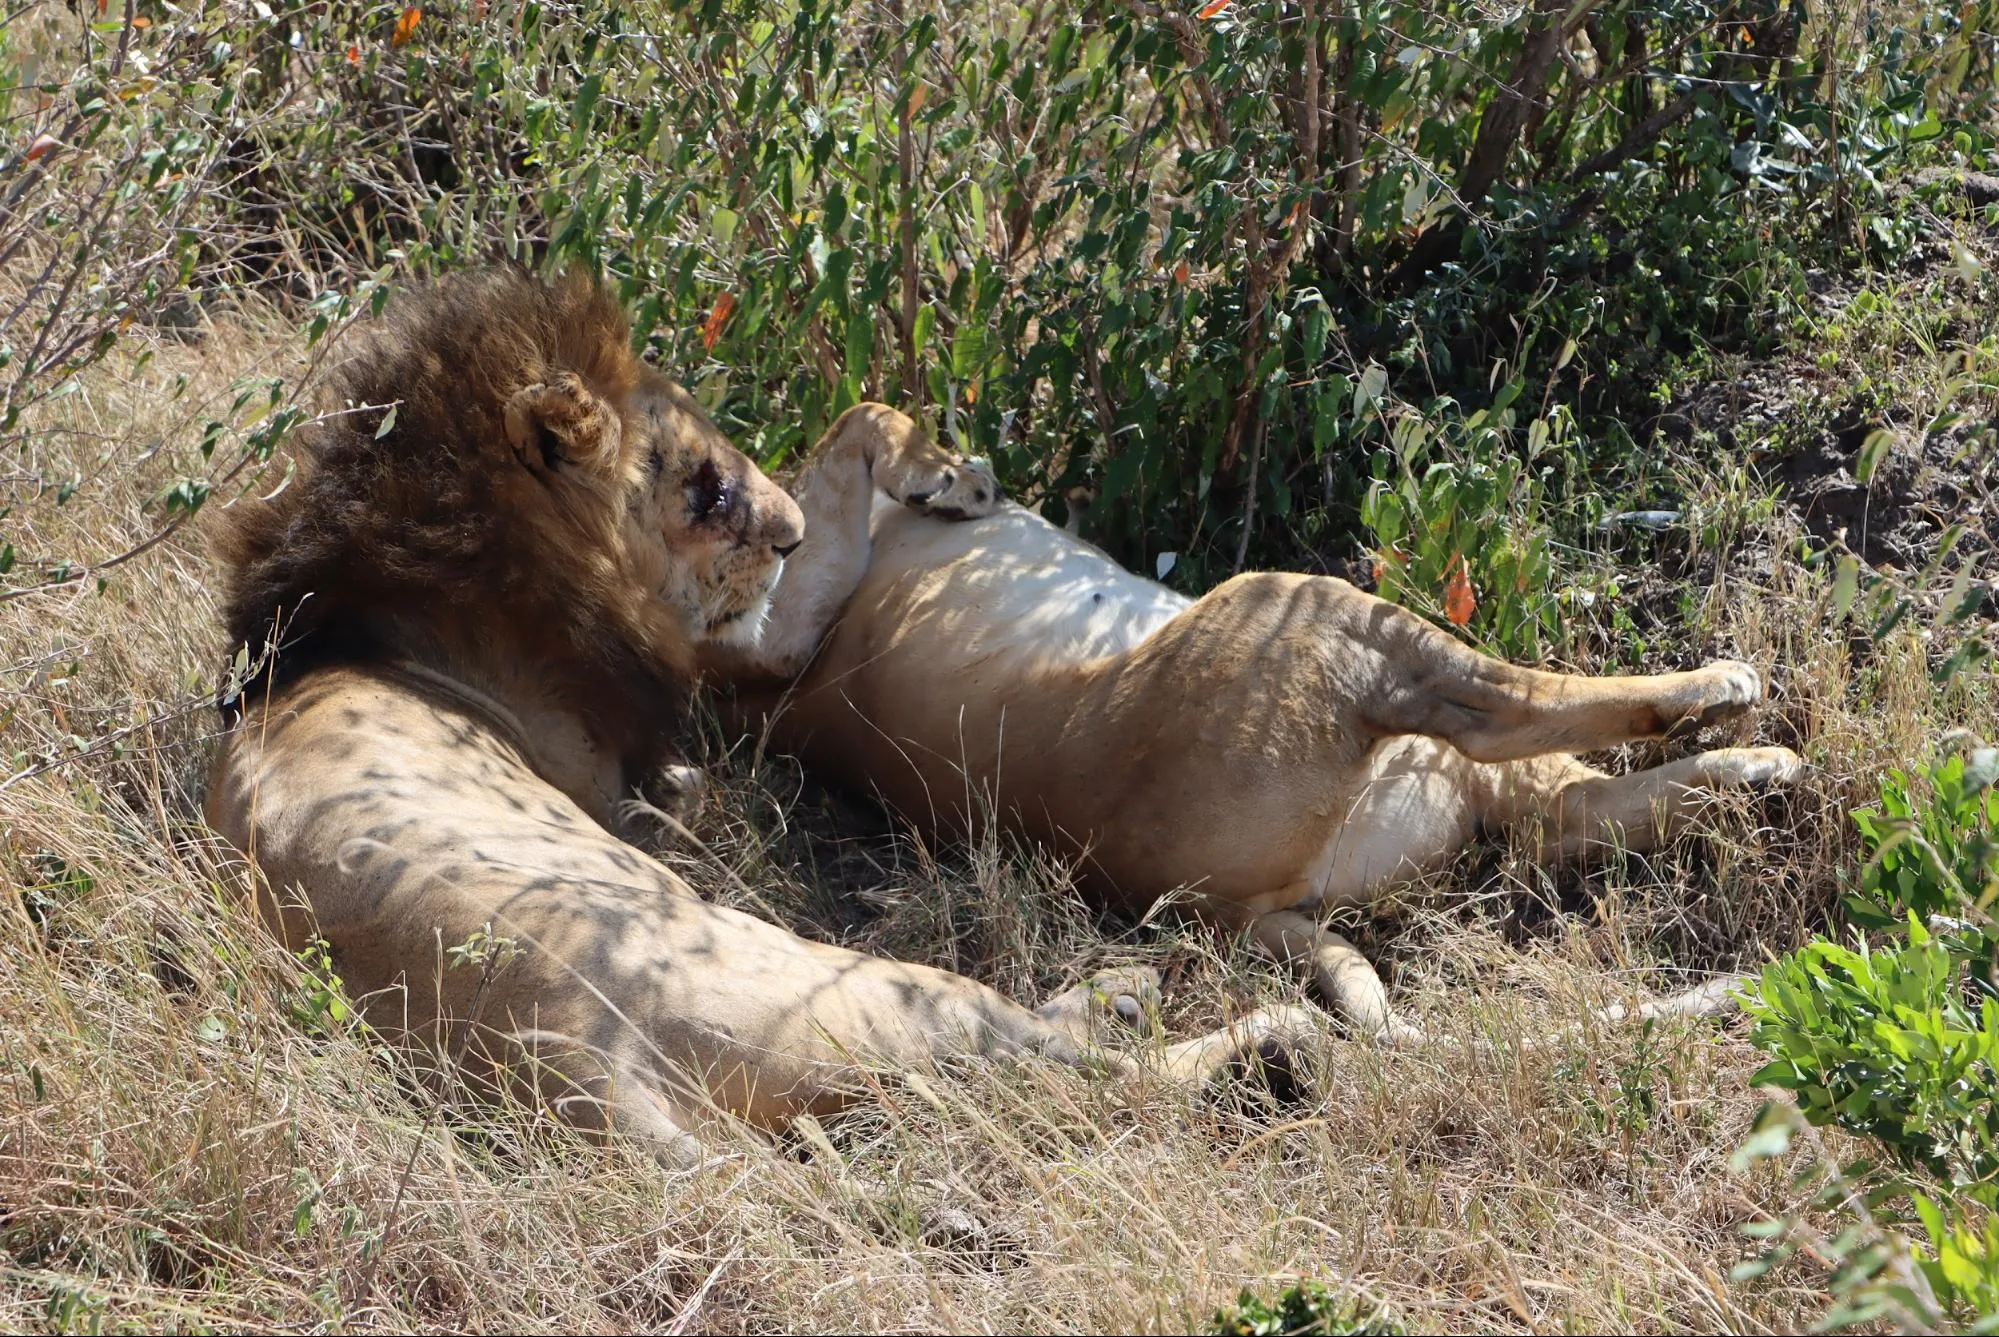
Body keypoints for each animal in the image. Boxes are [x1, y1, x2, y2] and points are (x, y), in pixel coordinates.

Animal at [198, 267, 1295, 1159]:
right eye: (710, 488)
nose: (789, 534)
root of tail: (569, 1059)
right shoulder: (739, 659)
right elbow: (852, 430)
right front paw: (951, 476)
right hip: (859, 985)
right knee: (1069, 1062)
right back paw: (1198, 1018)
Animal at [711, 401, 1807, 1039]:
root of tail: (1217, 910)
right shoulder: (782, 638)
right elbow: (858, 415)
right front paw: (950, 473)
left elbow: (854, 420)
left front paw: (955, 474)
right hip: (1320, 616)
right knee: (1512, 708)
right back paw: (1727, 692)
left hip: (1424, 754)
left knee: (1571, 805)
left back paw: (1758, 768)